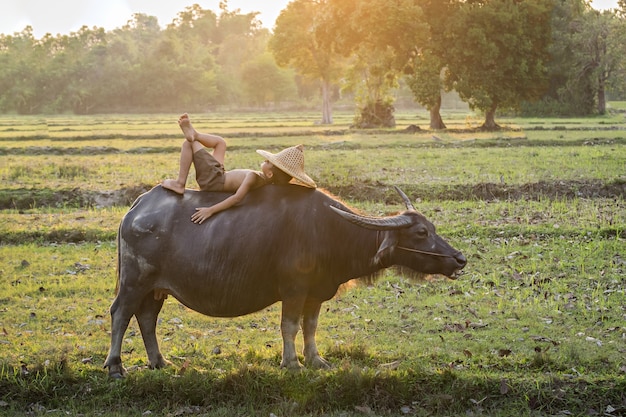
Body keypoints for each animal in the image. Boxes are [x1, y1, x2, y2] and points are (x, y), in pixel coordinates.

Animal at [103, 184, 464, 376]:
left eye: (432, 228)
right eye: (421, 233)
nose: (459, 258)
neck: (330, 232)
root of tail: (137, 207)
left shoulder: (315, 293)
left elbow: (310, 326)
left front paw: (316, 360)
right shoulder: (294, 289)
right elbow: (289, 325)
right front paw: (292, 363)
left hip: (156, 289)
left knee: (146, 318)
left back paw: (159, 362)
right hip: (135, 281)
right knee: (121, 313)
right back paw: (116, 366)